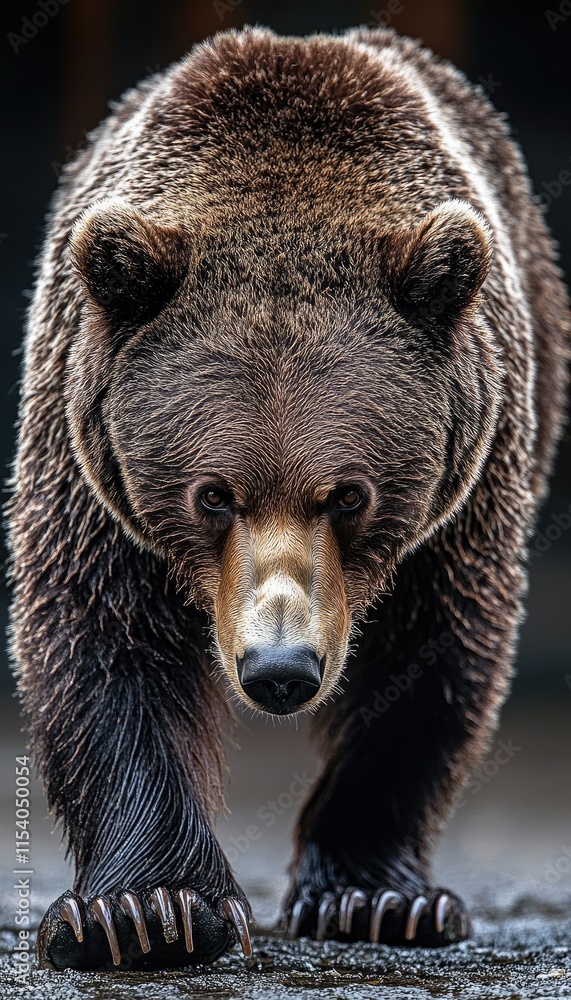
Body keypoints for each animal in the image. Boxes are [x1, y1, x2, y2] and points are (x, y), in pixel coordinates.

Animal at [8, 24, 569, 972]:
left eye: (348, 495)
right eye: (211, 494)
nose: (279, 670)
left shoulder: (464, 500)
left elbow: (428, 657)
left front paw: (378, 899)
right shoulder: (88, 468)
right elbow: (101, 640)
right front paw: (144, 911)